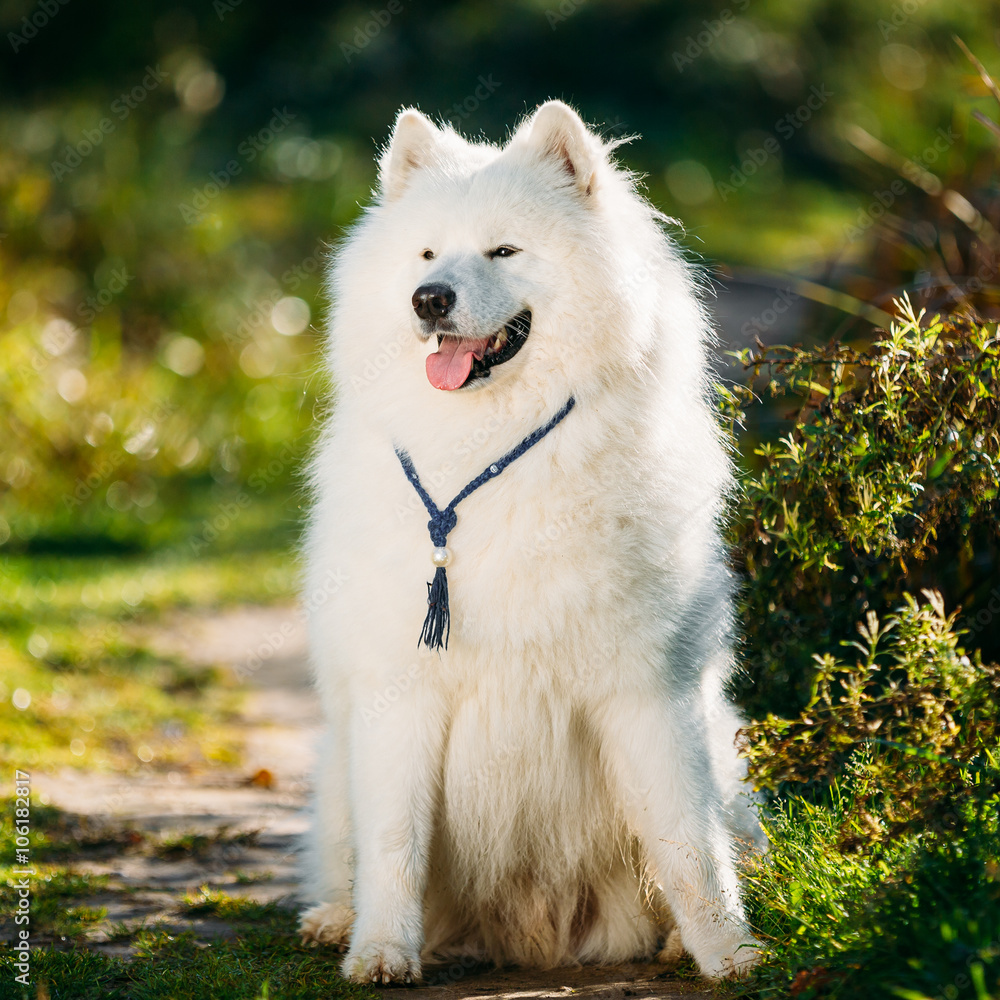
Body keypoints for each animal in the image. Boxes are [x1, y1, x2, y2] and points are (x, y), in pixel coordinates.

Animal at [296, 99, 764, 984]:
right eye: (427, 253)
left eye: (503, 250)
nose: (429, 298)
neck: (494, 457)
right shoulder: (399, 694)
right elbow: (393, 844)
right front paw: (382, 951)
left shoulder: (650, 690)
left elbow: (689, 842)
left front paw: (735, 955)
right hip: (336, 762)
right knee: (342, 853)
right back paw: (335, 922)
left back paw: (677, 942)